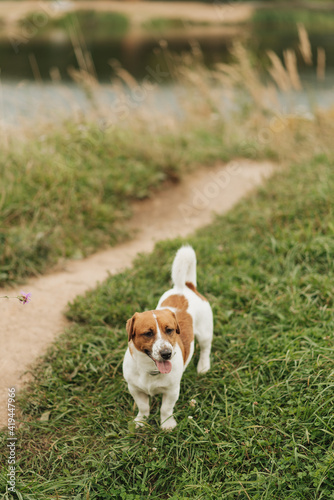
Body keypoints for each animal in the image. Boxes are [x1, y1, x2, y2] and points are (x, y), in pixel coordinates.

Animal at [122, 246, 214, 430]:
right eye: (148, 333)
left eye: (170, 330)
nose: (166, 354)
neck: (149, 369)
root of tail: (185, 287)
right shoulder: (135, 389)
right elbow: (143, 406)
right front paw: (141, 421)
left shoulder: (172, 391)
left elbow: (166, 409)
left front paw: (167, 425)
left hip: (205, 333)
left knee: (205, 348)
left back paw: (203, 366)